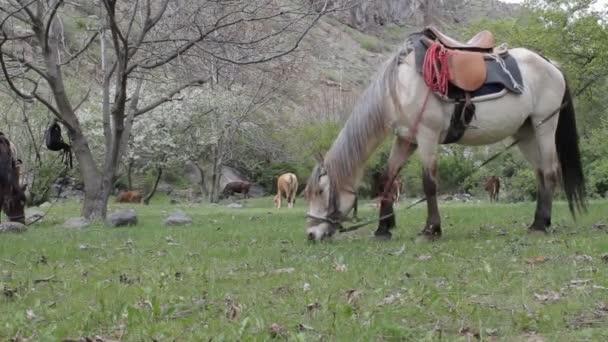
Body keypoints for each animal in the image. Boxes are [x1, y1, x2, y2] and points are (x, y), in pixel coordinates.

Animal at [306, 27, 588, 240]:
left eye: (320, 191)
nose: (311, 234)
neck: (400, 86)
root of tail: (551, 64)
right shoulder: (406, 139)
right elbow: (387, 178)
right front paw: (383, 229)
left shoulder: (427, 136)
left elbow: (429, 183)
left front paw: (431, 229)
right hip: (526, 133)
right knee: (540, 172)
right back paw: (538, 222)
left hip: (544, 125)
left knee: (549, 171)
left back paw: (541, 225)